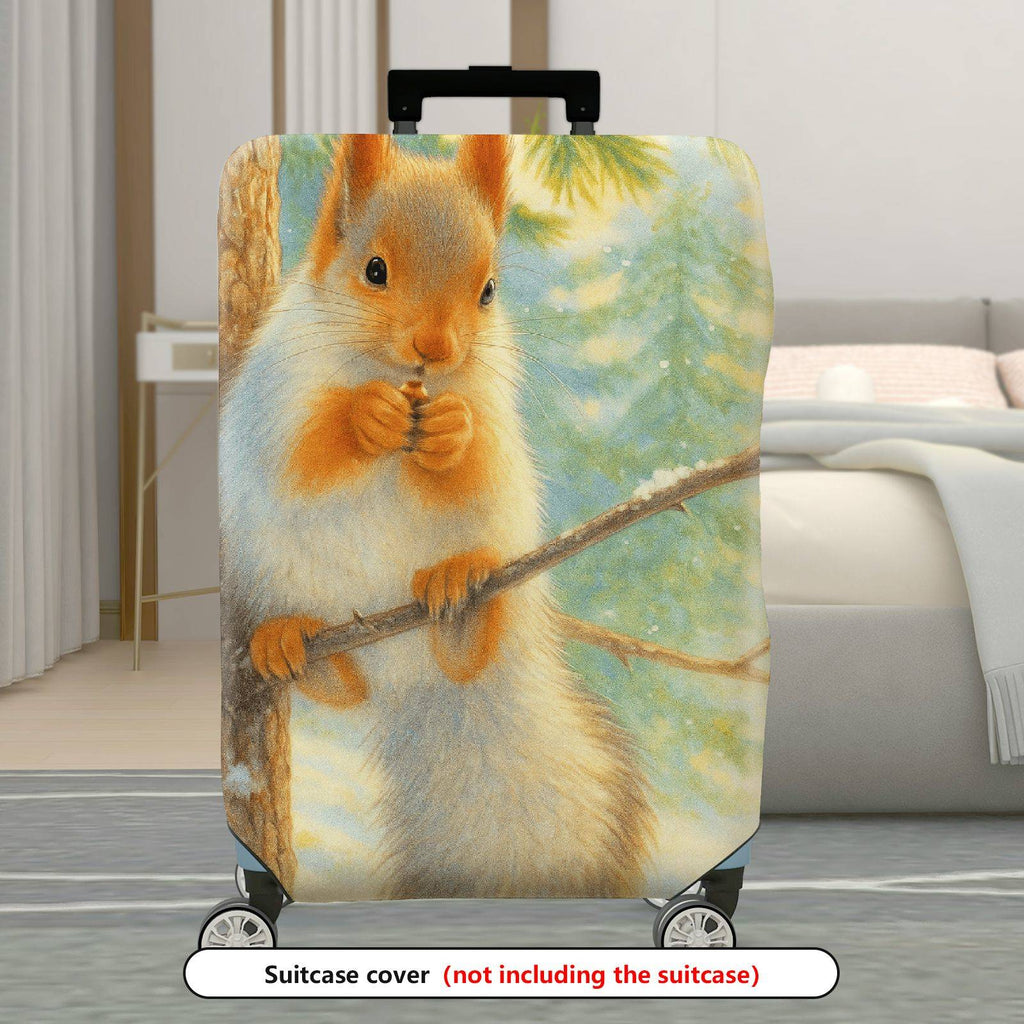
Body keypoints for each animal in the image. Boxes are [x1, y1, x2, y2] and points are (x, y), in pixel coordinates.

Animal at [219, 134, 653, 899]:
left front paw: (451, 431)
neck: (389, 373)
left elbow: (473, 458)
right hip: (275, 574)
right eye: (374, 270)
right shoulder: (273, 399)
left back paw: (460, 600)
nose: (437, 349)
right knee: (346, 686)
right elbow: (299, 457)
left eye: (488, 290)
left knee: (465, 650)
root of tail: (408, 677)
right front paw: (363, 418)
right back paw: (291, 643)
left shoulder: (491, 401)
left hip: (503, 562)